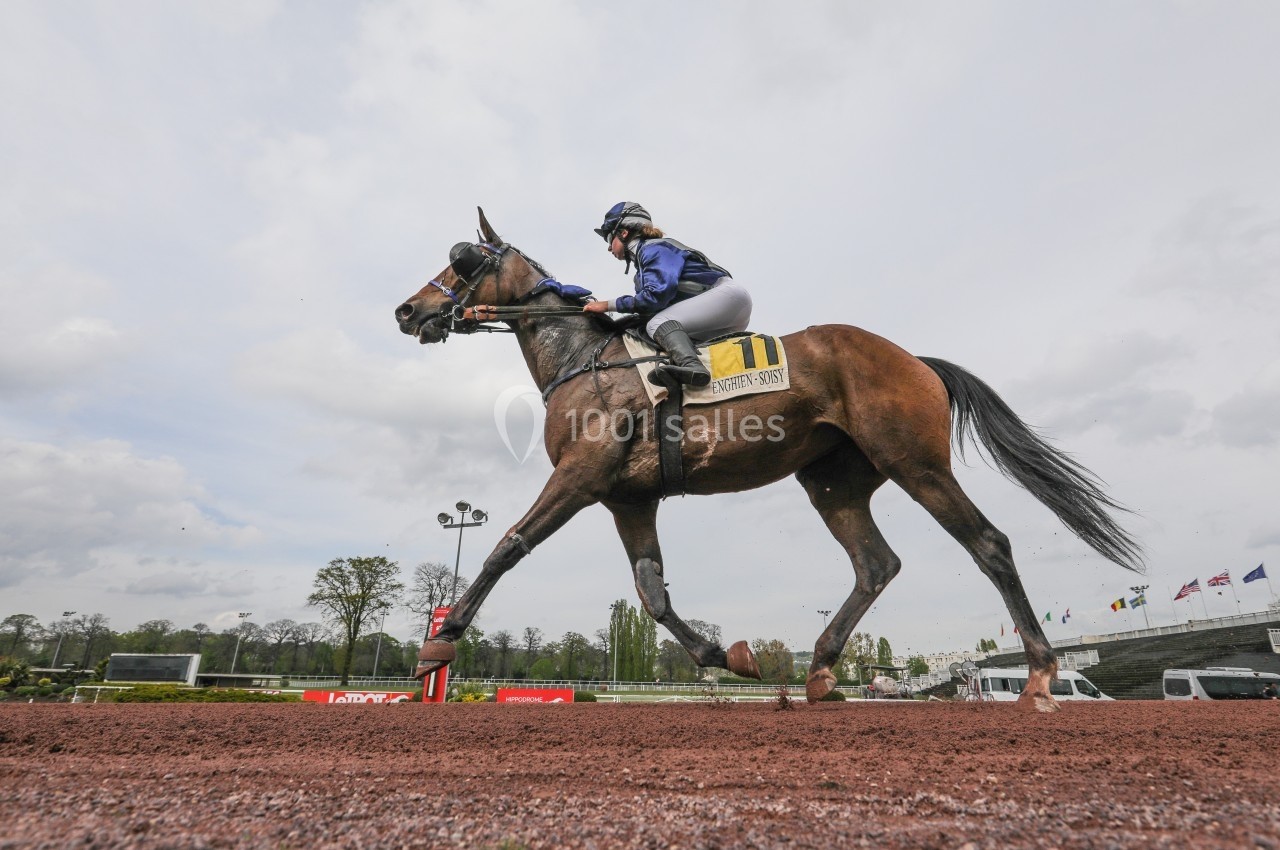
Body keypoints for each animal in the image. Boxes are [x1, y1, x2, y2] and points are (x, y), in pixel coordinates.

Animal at [393, 208, 1142, 711]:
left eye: (461, 259)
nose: (407, 310)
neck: (584, 358)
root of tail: (915, 360)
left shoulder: (581, 475)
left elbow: (507, 544)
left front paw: (440, 642)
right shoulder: (628, 497)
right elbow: (653, 593)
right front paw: (726, 656)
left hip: (915, 462)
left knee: (987, 542)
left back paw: (1040, 675)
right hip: (834, 482)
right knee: (876, 564)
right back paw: (819, 673)